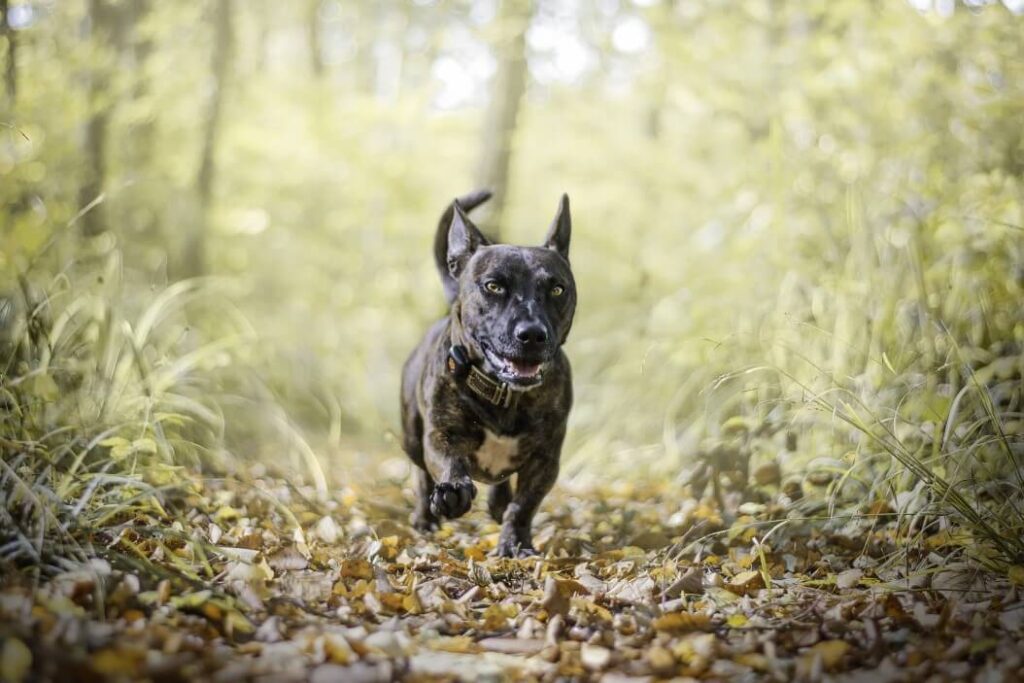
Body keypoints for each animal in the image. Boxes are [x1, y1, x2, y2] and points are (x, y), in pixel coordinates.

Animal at [399, 189, 577, 557]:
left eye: (557, 289)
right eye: (493, 286)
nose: (532, 334)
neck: (506, 393)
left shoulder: (545, 458)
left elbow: (524, 505)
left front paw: (515, 542)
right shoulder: (440, 434)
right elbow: (447, 463)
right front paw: (453, 490)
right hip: (411, 437)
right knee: (420, 473)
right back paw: (425, 518)